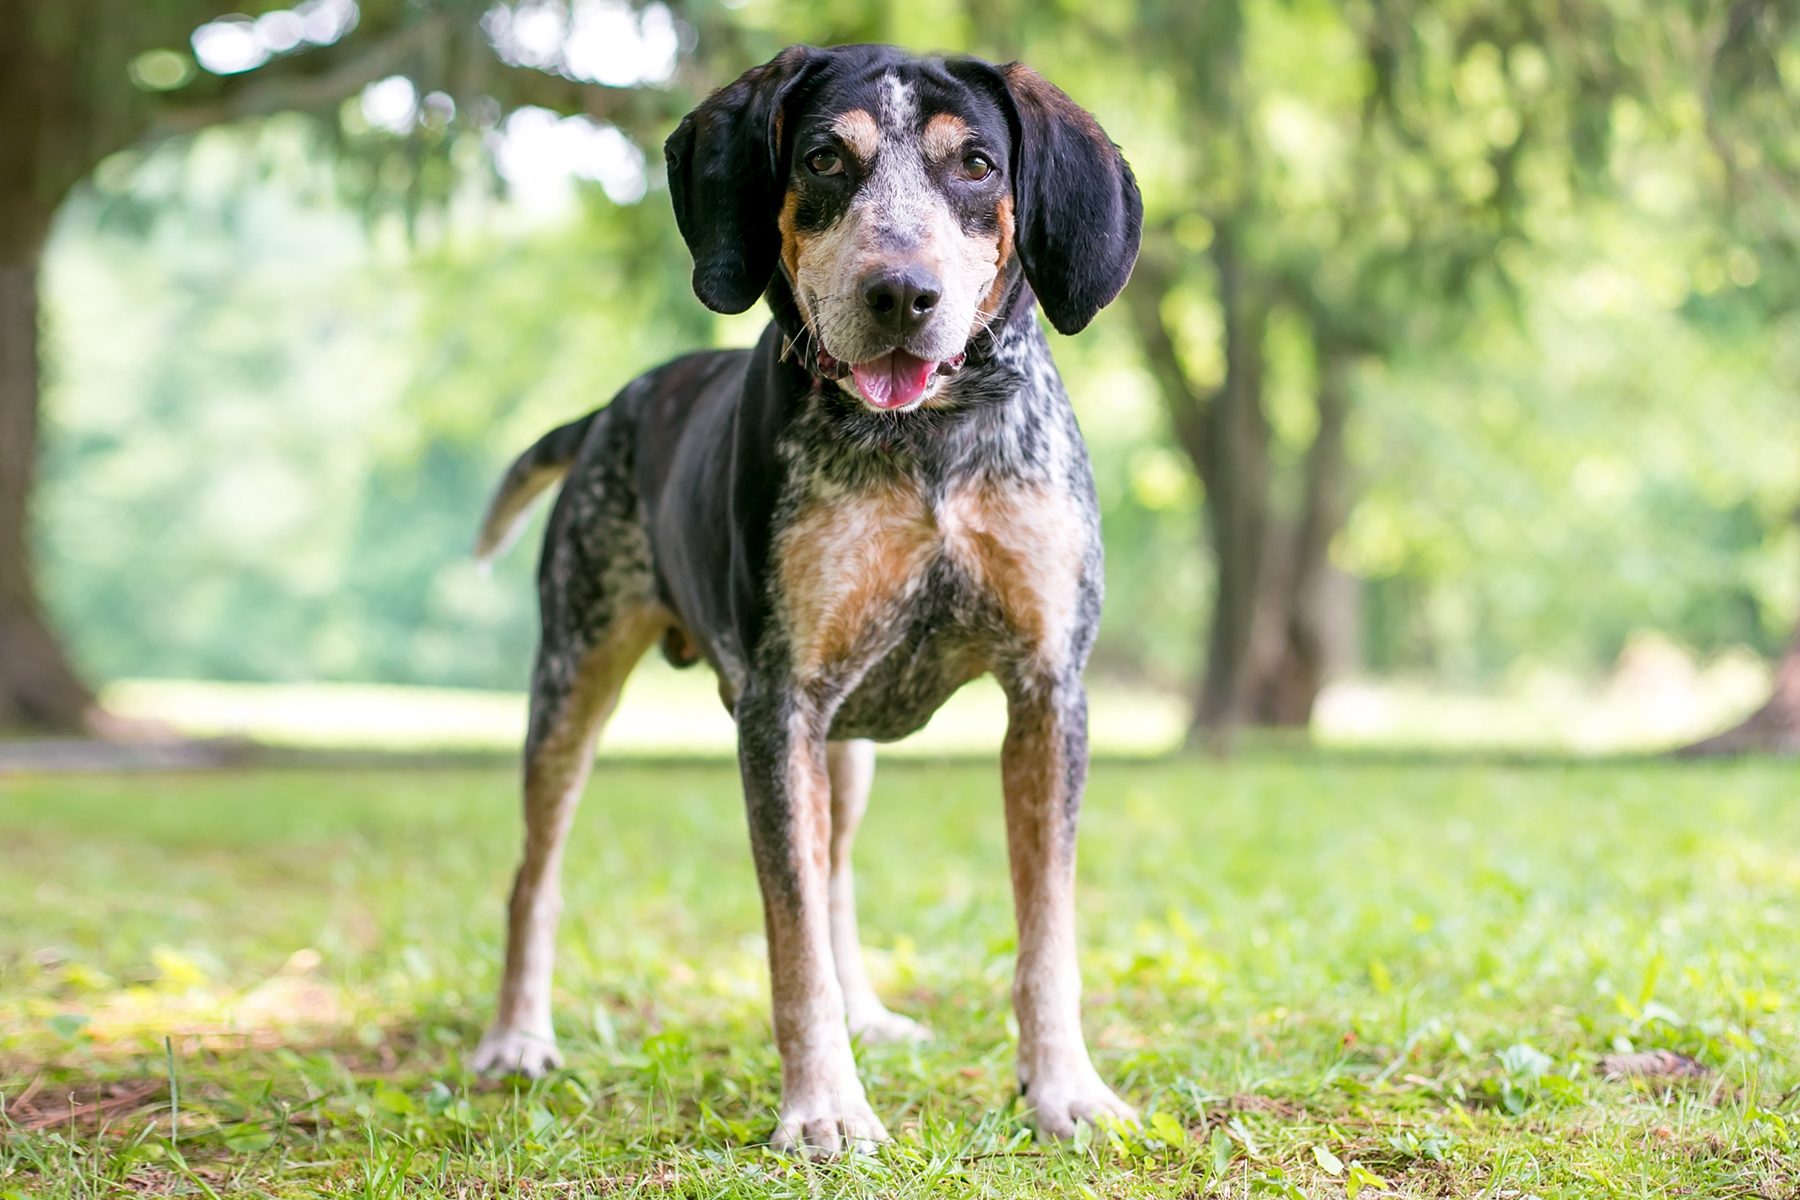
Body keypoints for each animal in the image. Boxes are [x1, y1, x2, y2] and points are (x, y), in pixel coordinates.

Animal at [464, 42, 1137, 1158]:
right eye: (824, 158)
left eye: (978, 166)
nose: (901, 292)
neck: (926, 441)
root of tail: (611, 408)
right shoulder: (780, 706)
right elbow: (791, 946)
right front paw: (825, 1105)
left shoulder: (1050, 693)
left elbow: (1048, 935)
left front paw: (1065, 1091)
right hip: (574, 683)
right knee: (533, 877)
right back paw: (517, 1037)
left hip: (846, 747)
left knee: (837, 878)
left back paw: (872, 1011)